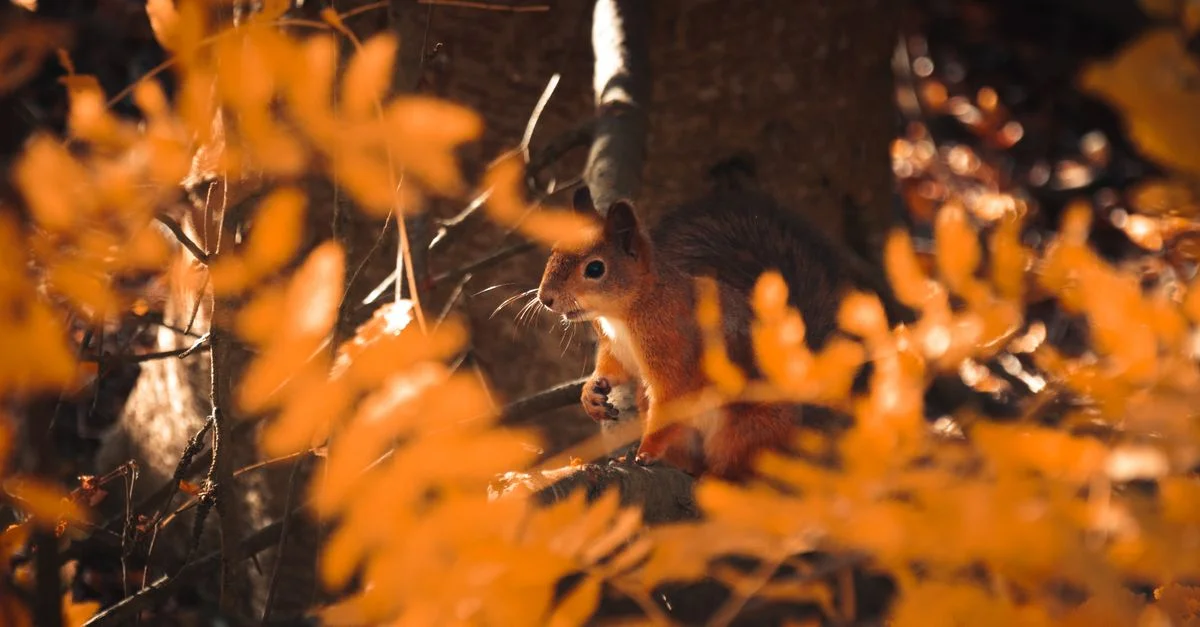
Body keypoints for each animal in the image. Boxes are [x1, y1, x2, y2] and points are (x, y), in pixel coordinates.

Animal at [536, 180, 857, 480]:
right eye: (553, 252)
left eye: (595, 269)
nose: (545, 298)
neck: (623, 315)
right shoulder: (616, 348)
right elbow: (614, 368)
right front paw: (591, 393)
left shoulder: (672, 348)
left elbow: (671, 397)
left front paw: (646, 450)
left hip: (746, 428)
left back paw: (718, 476)